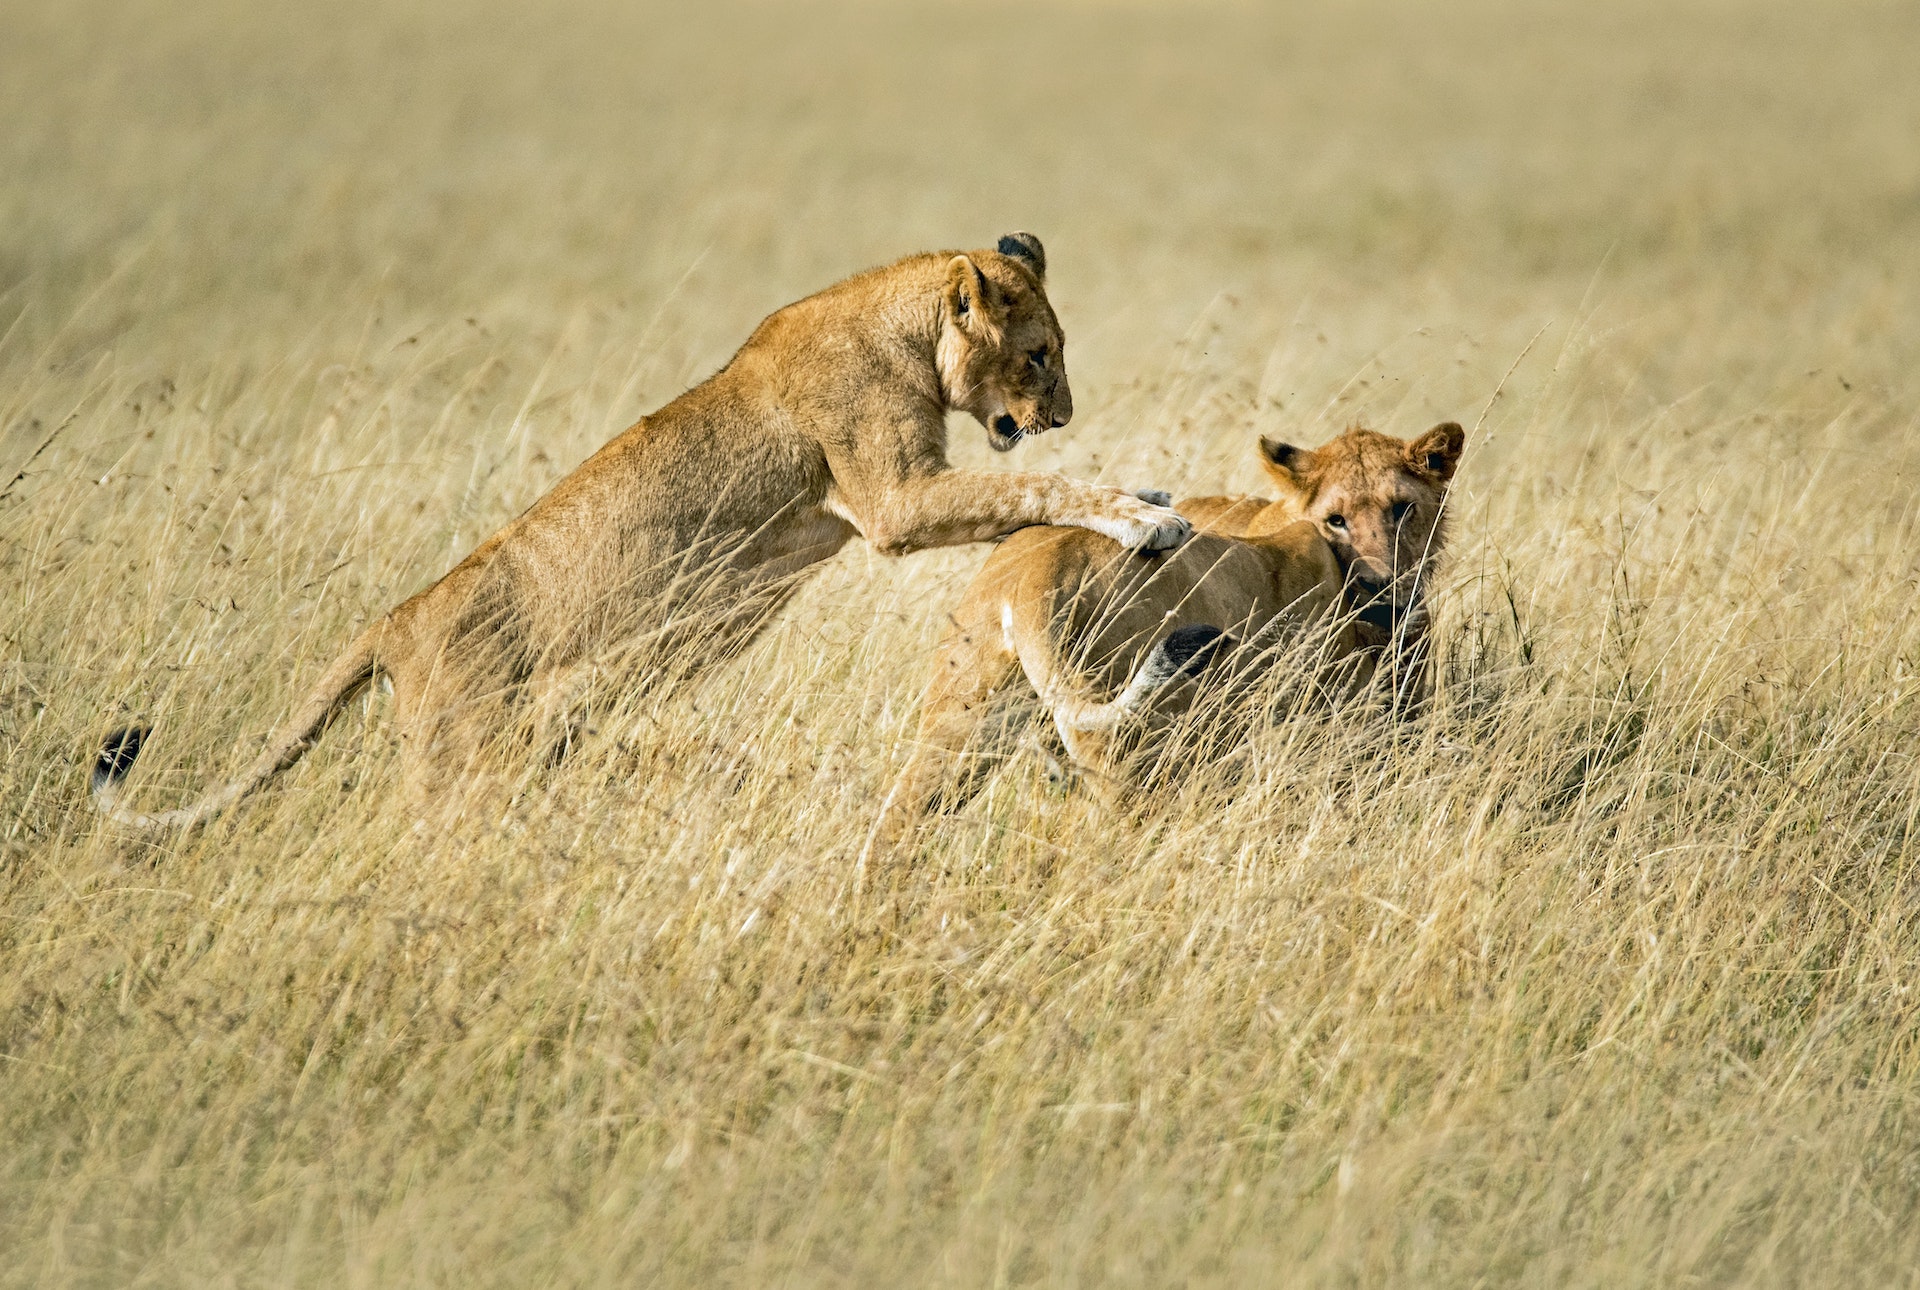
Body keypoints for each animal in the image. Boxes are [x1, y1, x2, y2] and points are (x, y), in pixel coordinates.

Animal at [101, 235, 1198, 833]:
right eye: (1041, 353)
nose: (1063, 408)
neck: (904, 332)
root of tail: (396, 619)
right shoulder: (889, 501)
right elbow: (1037, 487)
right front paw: (1145, 514)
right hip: (461, 759)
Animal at [864, 418, 1459, 852]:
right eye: (1336, 519)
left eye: (1404, 508)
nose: (1382, 587)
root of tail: (1031, 575)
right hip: (1138, 746)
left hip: (963, 719)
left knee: (897, 824)